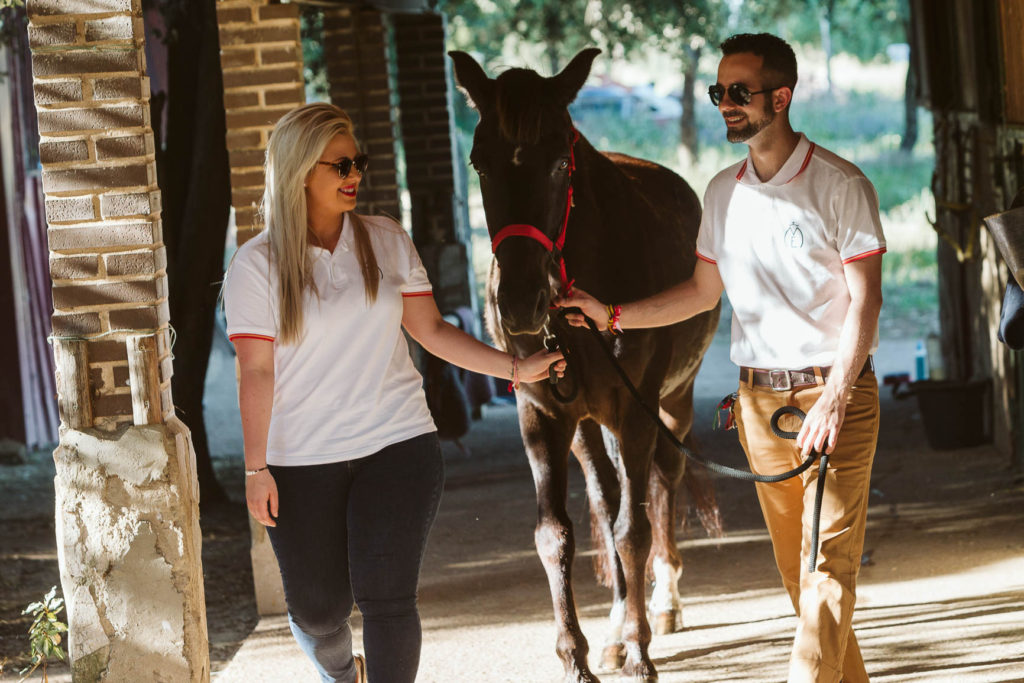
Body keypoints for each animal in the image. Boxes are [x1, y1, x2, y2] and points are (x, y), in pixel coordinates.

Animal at [452, 49, 724, 683]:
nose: (518, 303)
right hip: (589, 425)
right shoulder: (543, 415)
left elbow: (634, 528)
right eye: (479, 163)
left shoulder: (637, 411)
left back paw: (663, 603)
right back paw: (616, 630)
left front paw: (642, 649)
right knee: (608, 497)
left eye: (558, 163)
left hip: (669, 403)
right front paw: (577, 654)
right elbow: (557, 535)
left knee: (661, 483)